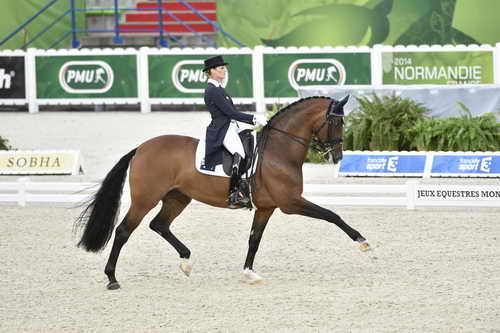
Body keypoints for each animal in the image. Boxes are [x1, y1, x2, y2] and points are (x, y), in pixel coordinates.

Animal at [74, 94, 372, 290]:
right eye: (336, 123)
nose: (336, 156)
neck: (278, 150)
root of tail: (141, 148)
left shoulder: (267, 207)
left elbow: (254, 240)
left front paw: (249, 273)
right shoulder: (290, 202)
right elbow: (331, 215)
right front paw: (362, 241)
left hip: (177, 197)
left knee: (159, 225)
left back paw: (186, 261)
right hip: (145, 199)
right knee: (124, 231)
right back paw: (112, 279)